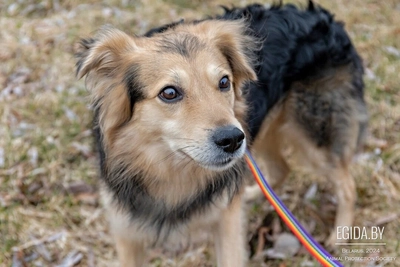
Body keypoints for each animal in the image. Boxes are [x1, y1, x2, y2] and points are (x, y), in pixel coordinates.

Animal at [76, 1, 368, 266]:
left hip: (308, 136)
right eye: (169, 93)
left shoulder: (227, 228)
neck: (169, 169)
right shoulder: (127, 233)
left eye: (224, 82)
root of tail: (324, 18)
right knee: (280, 169)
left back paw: (338, 238)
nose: (232, 140)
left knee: (347, 186)